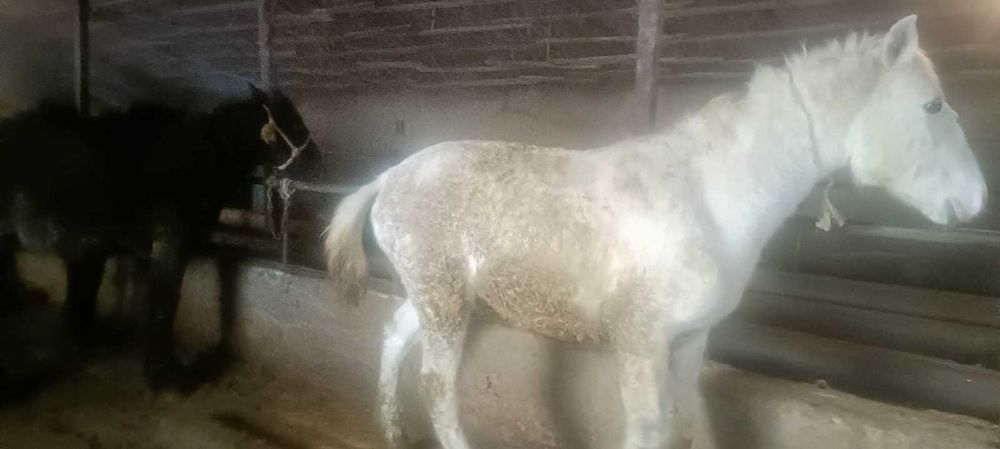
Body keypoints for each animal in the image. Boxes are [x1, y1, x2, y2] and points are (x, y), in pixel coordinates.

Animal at [0, 84, 318, 391]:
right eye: (292, 119)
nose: (316, 157)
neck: (201, 158)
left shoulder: (96, 252)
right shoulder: (168, 246)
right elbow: (166, 303)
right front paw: (164, 375)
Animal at [325, 16, 987, 449]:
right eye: (932, 105)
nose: (978, 199)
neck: (710, 199)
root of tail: (387, 178)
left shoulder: (691, 340)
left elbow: (689, 420)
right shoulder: (639, 342)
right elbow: (650, 430)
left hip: (437, 297)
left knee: (393, 338)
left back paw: (391, 429)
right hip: (443, 301)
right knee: (437, 383)